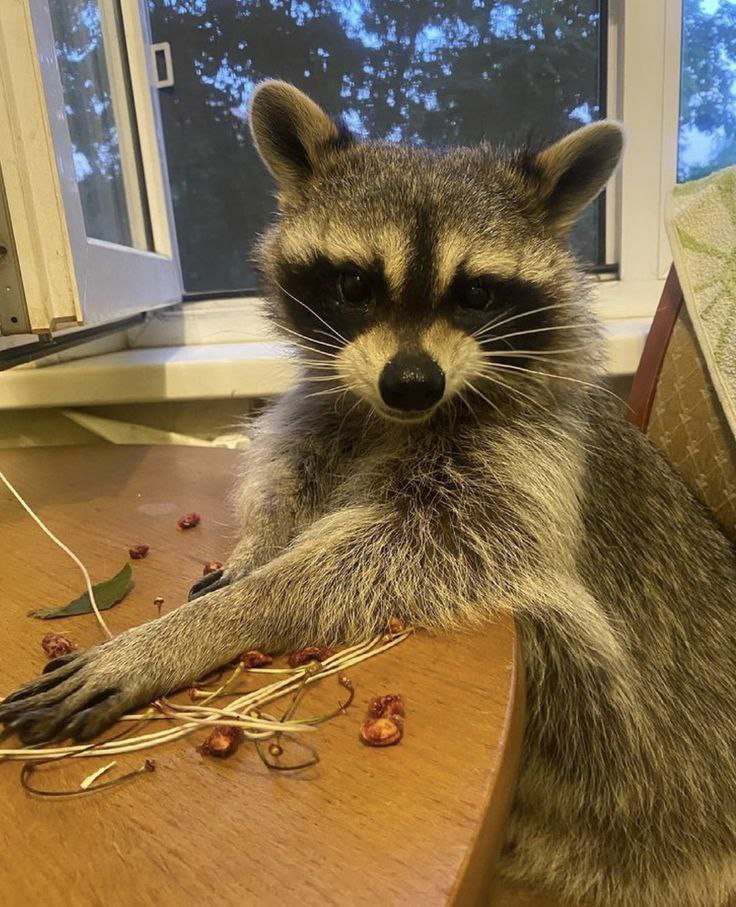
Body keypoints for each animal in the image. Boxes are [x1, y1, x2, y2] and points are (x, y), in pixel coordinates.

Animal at [4, 81, 736, 906]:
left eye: (477, 293)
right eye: (355, 284)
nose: (412, 382)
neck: (392, 420)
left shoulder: (529, 462)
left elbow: (415, 550)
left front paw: (215, 620)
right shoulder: (335, 408)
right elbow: (292, 461)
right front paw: (258, 544)